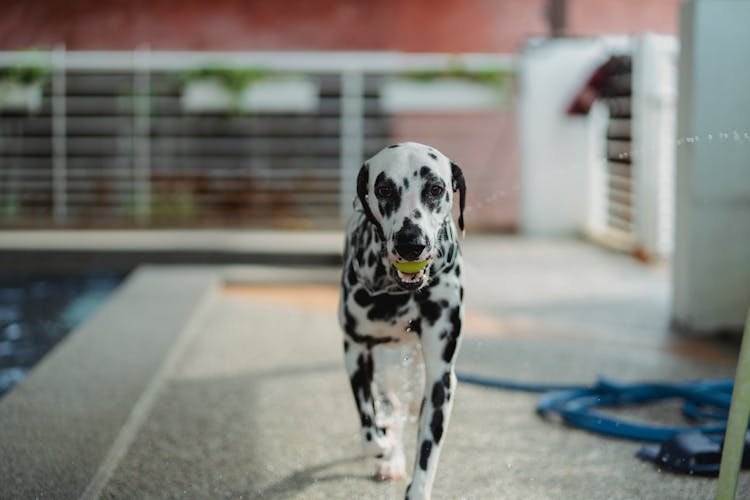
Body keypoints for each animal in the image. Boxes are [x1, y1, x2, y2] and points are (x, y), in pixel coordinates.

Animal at [340, 142, 464, 500]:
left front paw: (419, 488)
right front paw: (383, 446)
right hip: (383, 364)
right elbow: (369, 428)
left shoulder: (440, 378)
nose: (411, 244)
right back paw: (390, 456)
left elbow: (428, 448)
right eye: (384, 189)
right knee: (390, 405)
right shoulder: (355, 350)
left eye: (435, 189)